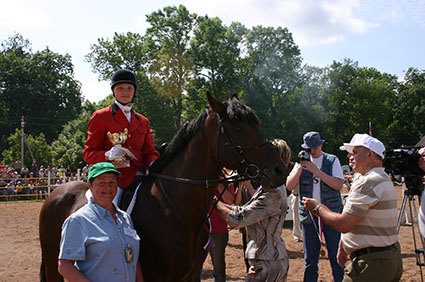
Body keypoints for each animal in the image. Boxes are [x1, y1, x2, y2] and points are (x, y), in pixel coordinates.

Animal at [39, 92, 288, 280]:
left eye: (257, 124)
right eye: (237, 129)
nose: (280, 170)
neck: (177, 208)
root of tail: (58, 192)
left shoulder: (189, 274)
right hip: (53, 263)